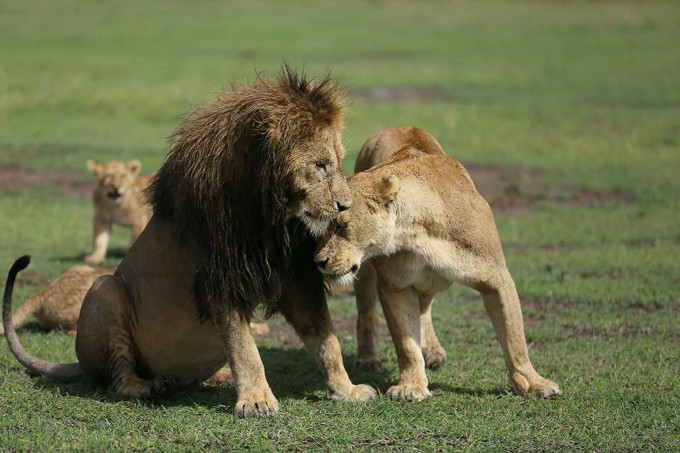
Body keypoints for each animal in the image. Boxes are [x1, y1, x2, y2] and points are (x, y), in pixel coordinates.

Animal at [2, 67, 374, 416]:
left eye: (339, 162)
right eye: (320, 165)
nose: (345, 206)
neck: (270, 218)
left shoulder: (297, 279)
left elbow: (327, 341)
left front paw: (348, 389)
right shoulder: (222, 281)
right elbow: (245, 349)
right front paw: (256, 401)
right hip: (103, 288)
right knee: (119, 381)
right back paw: (153, 387)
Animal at [316, 126, 560, 400]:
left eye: (341, 225)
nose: (319, 261)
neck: (419, 232)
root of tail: (399, 127)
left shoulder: (497, 278)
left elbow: (514, 337)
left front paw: (533, 383)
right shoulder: (394, 286)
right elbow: (406, 343)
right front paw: (411, 386)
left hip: (433, 281)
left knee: (425, 305)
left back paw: (431, 349)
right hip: (367, 274)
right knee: (366, 311)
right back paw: (369, 359)